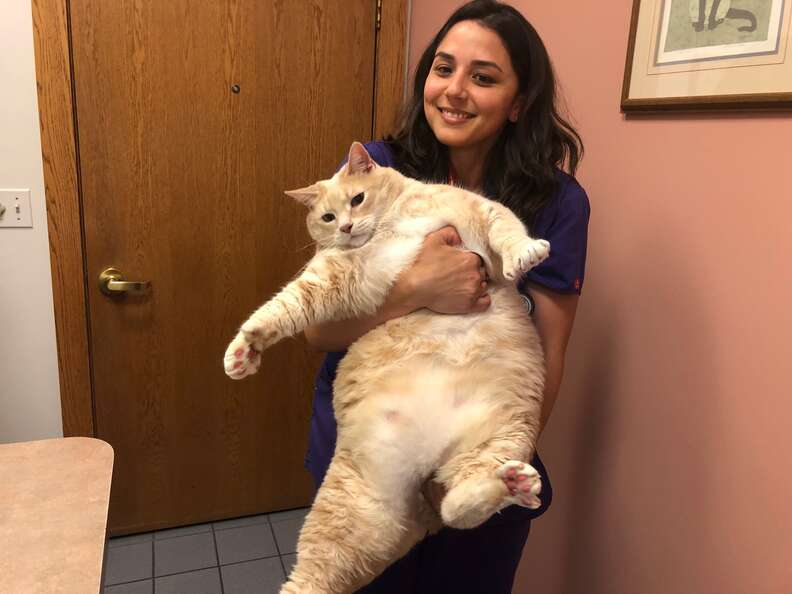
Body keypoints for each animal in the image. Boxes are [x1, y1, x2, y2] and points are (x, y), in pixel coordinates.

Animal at [223, 141, 552, 588]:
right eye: (327, 217)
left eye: (357, 199)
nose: (346, 227)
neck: (387, 225)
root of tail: (428, 470)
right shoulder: (334, 278)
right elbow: (283, 306)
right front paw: (244, 350)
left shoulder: (477, 218)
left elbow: (506, 227)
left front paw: (526, 251)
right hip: (355, 510)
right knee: (314, 577)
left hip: (503, 438)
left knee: (459, 506)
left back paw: (513, 483)